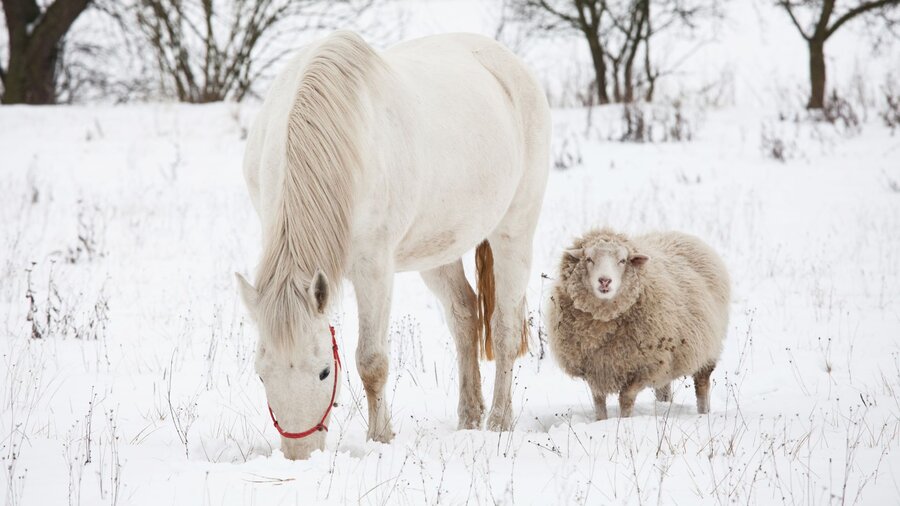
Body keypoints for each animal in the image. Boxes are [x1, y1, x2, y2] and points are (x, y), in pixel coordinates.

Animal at [236, 31, 550, 460]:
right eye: (261, 374)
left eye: (324, 371)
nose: (301, 457)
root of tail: (510, 64)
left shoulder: (374, 268)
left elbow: (372, 361)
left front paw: (380, 438)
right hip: (438, 251)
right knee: (465, 316)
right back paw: (469, 416)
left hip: (514, 231)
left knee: (504, 327)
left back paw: (499, 421)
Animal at [547, 228, 730, 420]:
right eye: (589, 259)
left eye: (622, 261)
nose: (604, 281)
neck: (604, 317)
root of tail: (680, 234)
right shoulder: (594, 368)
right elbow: (598, 401)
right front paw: (601, 421)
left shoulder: (644, 366)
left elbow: (626, 398)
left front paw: (624, 421)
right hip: (667, 360)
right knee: (663, 389)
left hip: (707, 349)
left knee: (701, 384)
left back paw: (703, 413)